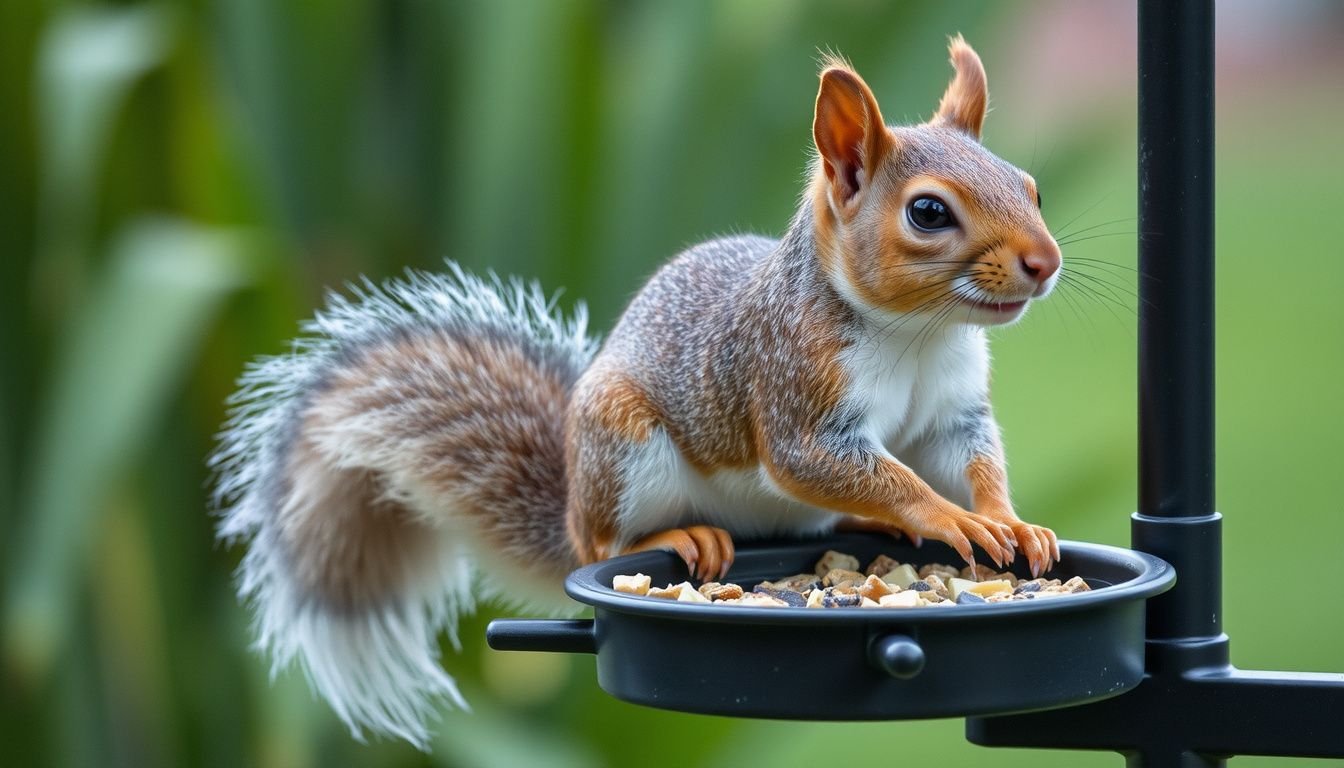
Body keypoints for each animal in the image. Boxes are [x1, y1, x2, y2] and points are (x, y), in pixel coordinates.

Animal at [212, 36, 1062, 748]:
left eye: (1032, 189)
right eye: (928, 211)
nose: (1045, 262)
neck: (918, 334)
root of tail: (570, 501)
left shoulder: (952, 410)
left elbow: (969, 460)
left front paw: (1008, 521)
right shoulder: (794, 389)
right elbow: (843, 466)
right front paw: (948, 516)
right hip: (623, 450)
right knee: (603, 546)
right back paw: (682, 538)